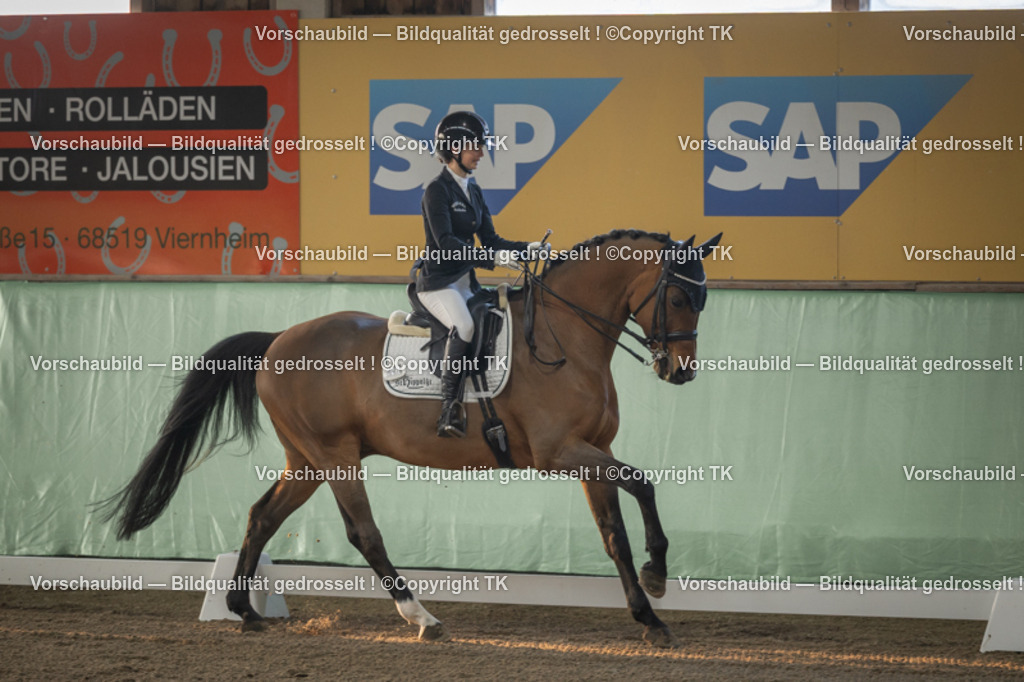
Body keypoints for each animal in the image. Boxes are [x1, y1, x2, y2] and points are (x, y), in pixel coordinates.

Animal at [101, 229, 722, 648]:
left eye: (703, 299)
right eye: (677, 297)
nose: (680, 371)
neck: (563, 337)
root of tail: (278, 340)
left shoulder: (595, 452)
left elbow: (615, 533)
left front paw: (650, 617)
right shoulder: (559, 453)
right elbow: (644, 485)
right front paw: (659, 576)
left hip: (305, 460)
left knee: (262, 516)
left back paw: (245, 611)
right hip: (334, 456)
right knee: (363, 532)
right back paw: (421, 617)